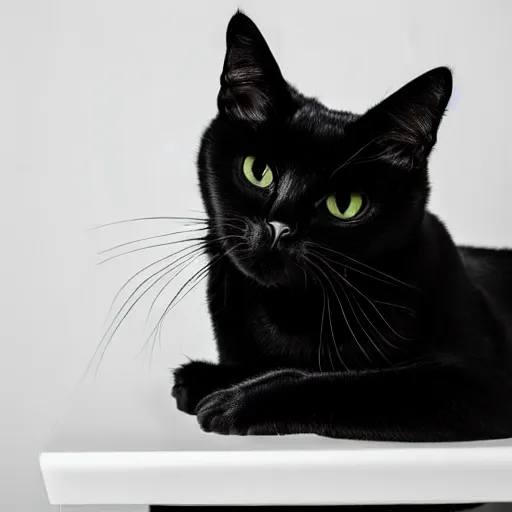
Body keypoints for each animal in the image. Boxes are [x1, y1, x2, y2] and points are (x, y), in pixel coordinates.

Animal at [171, 10, 512, 442]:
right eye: (258, 171)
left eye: (345, 204)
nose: (278, 228)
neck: (290, 311)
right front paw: (205, 378)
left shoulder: (480, 381)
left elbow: (350, 382)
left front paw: (235, 401)